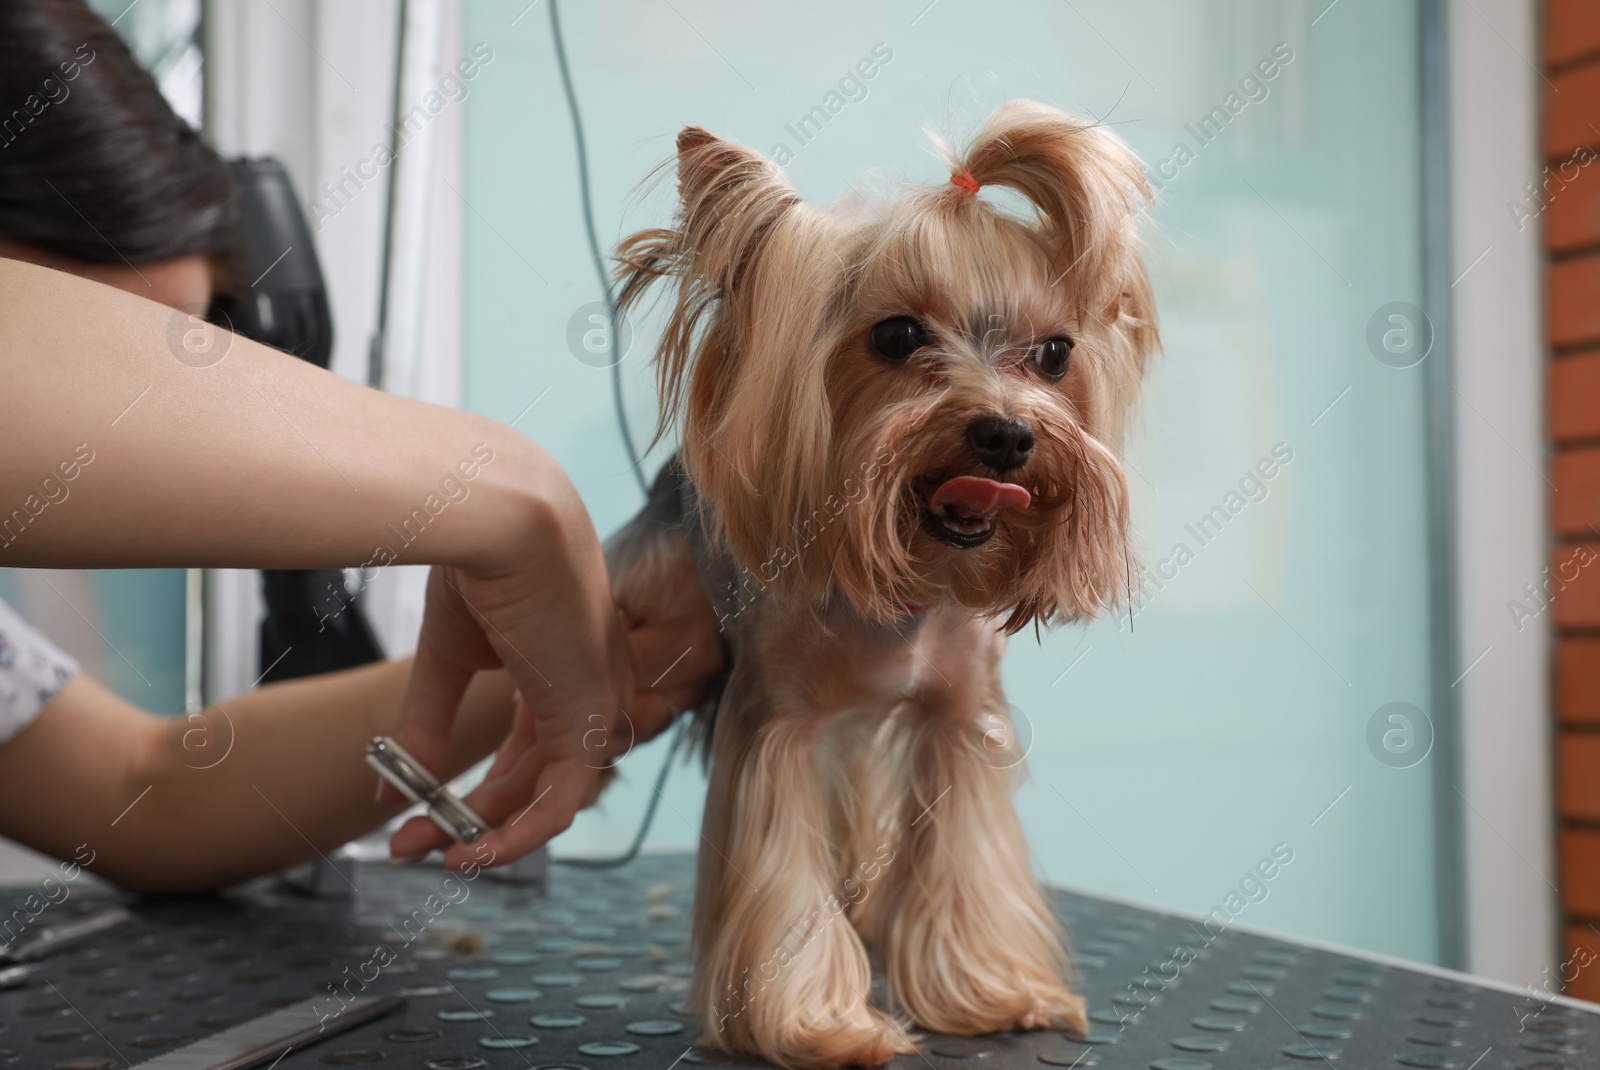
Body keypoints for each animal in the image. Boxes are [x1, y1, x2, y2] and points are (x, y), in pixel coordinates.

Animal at [604, 102, 1158, 1068]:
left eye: (1056, 354)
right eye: (896, 336)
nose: (1008, 435)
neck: (910, 583)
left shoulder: (959, 716)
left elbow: (964, 858)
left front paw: (989, 993)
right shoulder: (776, 724)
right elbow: (785, 871)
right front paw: (815, 1023)